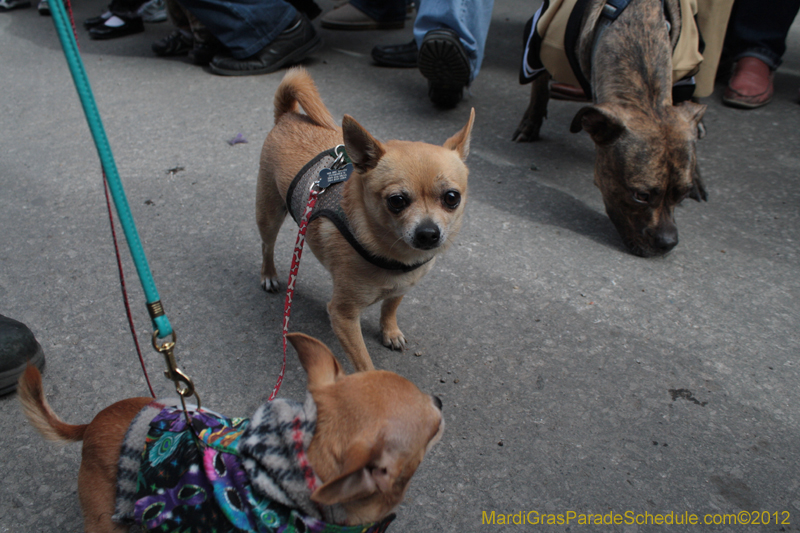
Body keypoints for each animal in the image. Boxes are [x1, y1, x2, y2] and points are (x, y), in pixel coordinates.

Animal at [256, 66, 472, 370]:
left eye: (451, 198)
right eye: (397, 201)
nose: (428, 233)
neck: (394, 255)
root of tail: (288, 116)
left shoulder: (400, 288)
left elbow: (390, 306)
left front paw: (389, 330)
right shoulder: (344, 316)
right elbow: (364, 362)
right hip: (269, 213)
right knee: (267, 245)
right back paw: (269, 275)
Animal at [512, 0, 708, 258]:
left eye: (682, 194)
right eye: (641, 196)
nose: (668, 243)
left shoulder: (684, 77)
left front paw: (696, 175)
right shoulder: (539, 44)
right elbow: (539, 81)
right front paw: (531, 120)